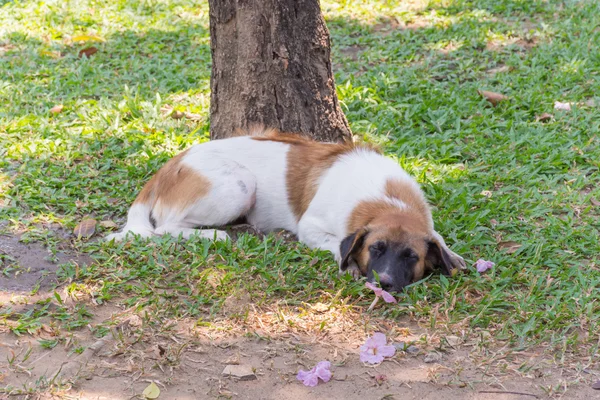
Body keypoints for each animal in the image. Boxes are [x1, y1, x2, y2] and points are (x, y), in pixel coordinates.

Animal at [106, 128, 464, 290]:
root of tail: (169, 165)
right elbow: (335, 243)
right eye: (376, 248)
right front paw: (347, 262)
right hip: (240, 185)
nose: (384, 282)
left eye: (411, 256)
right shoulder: (311, 226)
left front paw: (451, 254)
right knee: (166, 227)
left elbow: (438, 236)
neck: (387, 198)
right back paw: (216, 236)